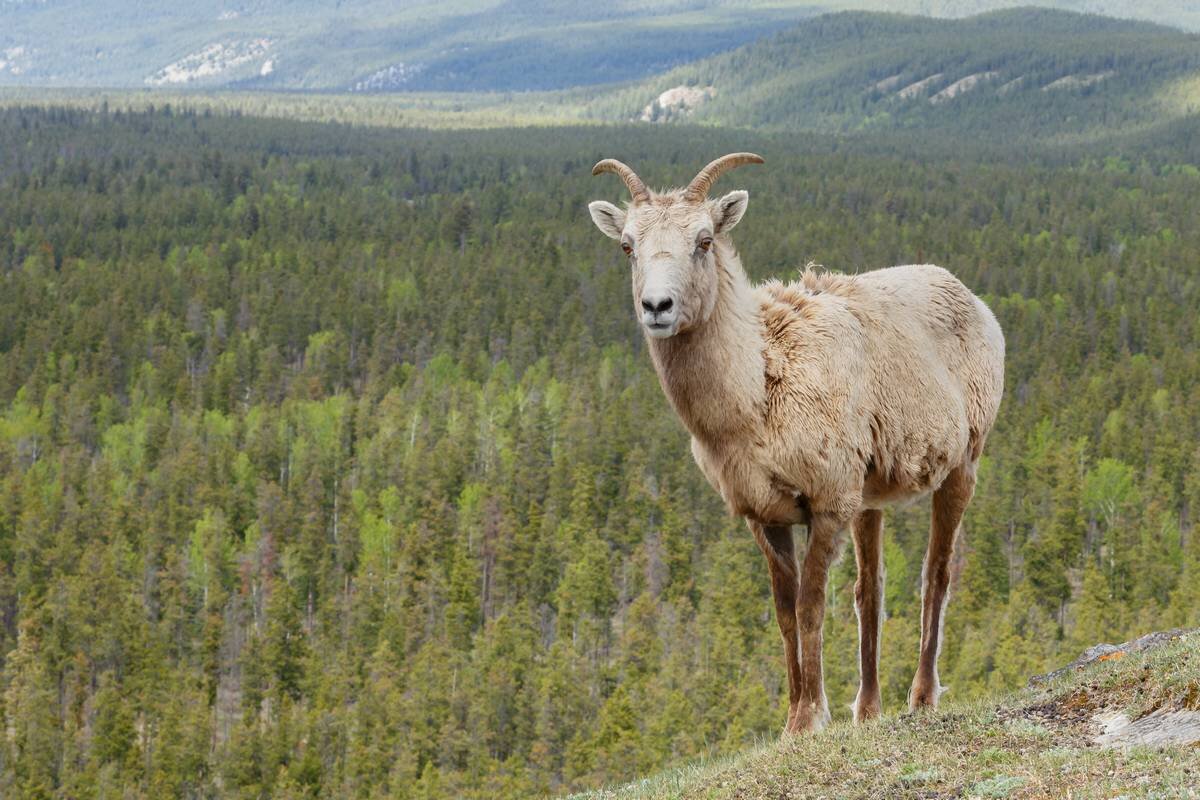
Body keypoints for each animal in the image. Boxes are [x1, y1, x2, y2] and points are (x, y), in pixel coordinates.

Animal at [590, 153, 1003, 734]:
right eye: (628, 246)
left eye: (704, 240)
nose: (657, 306)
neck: (758, 393)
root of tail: (971, 299)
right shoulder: (767, 517)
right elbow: (786, 614)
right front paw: (792, 724)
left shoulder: (827, 506)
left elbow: (811, 607)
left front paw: (812, 719)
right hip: (870, 503)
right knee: (870, 590)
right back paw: (867, 711)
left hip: (962, 468)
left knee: (936, 574)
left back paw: (921, 698)